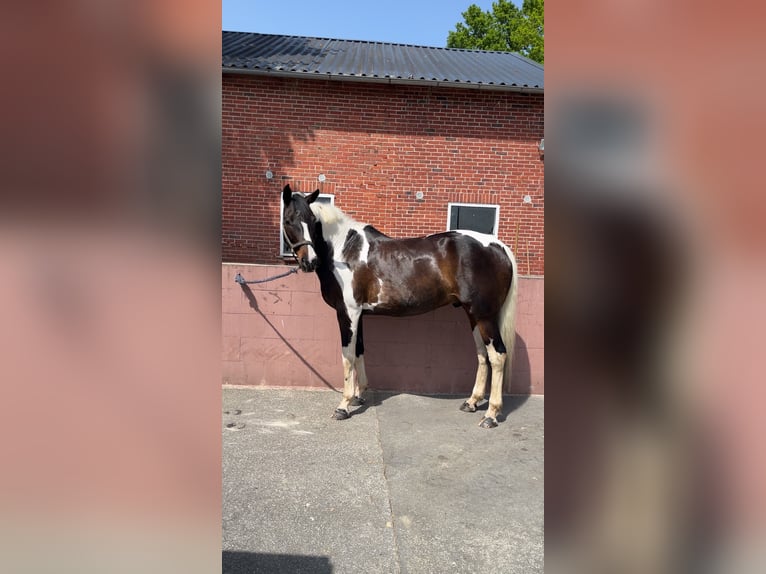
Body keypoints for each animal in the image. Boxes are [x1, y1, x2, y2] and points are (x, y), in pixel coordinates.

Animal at [281, 184, 518, 428]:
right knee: (482, 354)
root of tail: (498, 246)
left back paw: (491, 414)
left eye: (311, 220)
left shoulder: (348, 312)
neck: (343, 250)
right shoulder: (360, 314)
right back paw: (472, 402)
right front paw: (359, 395)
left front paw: (344, 405)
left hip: (484, 316)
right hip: (472, 314)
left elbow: (347, 356)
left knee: (498, 355)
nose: (309, 262)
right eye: (289, 220)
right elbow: (359, 350)